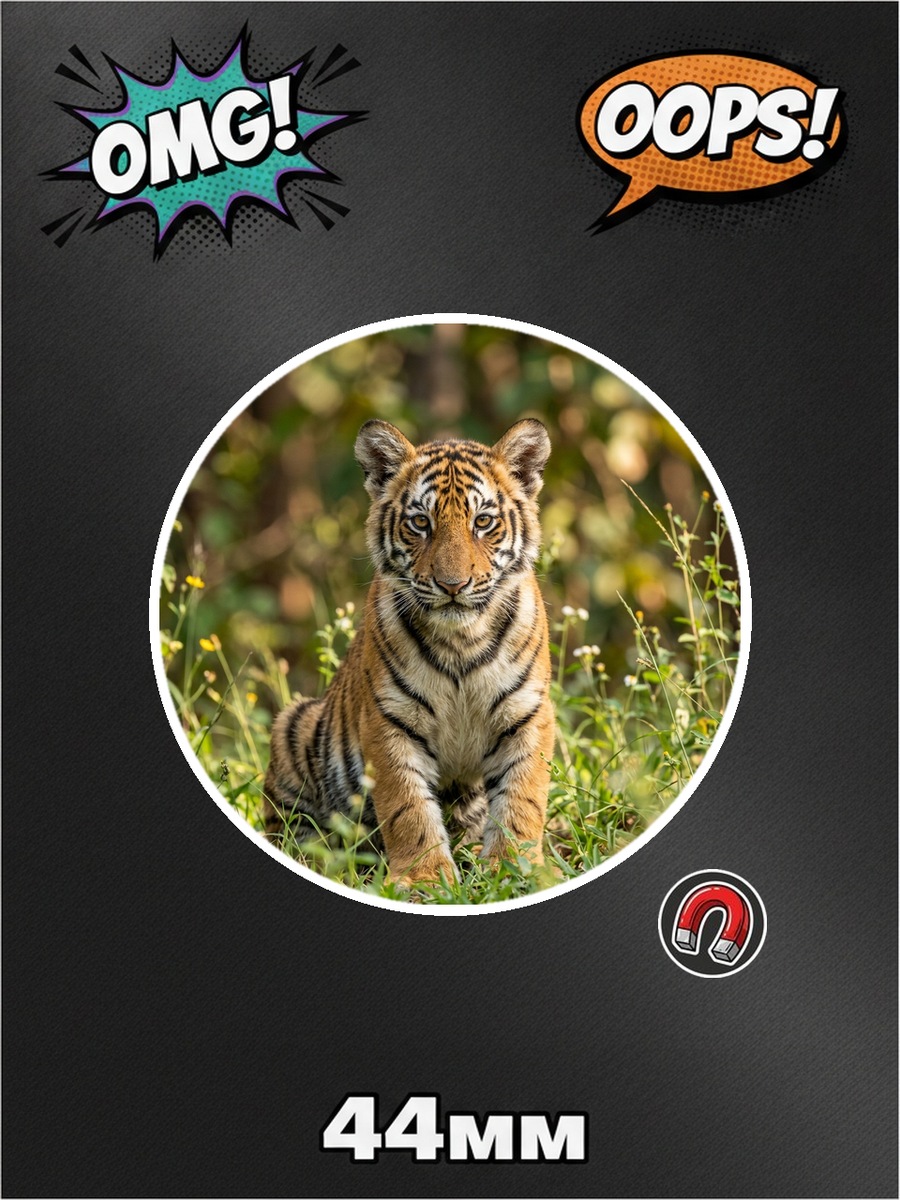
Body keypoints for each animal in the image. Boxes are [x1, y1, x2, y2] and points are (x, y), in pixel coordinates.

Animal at [262, 417, 555, 886]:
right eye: (420, 522)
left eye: (483, 521)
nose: (453, 585)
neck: (461, 640)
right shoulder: (389, 720)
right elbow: (407, 806)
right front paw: (425, 879)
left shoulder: (527, 713)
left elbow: (521, 797)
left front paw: (514, 868)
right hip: (293, 723)